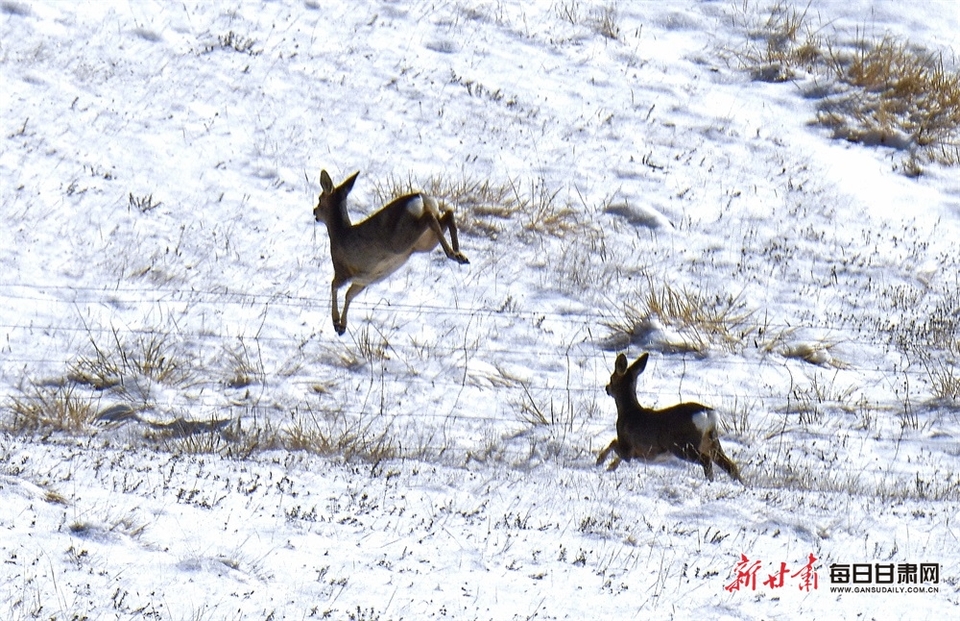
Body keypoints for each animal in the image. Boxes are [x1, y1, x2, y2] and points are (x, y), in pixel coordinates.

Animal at [314, 170, 466, 334]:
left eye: (320, 198)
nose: (315, 211)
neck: (338, 234)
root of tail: (421, 198)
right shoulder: (363, 280)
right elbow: (349, 295)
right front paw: (342, 327)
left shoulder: (343, 270)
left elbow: (334, 286)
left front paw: (336, 322)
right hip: (422, 243)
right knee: (447, 214)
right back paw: (459, 254)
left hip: (400, 240)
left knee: (430, 219)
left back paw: (453, 254)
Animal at [596, 354, 748, 480]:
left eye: (611, 378)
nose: (607, 388)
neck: (628, 411)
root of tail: (707, 415)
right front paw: (610, 467)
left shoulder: (628, 447)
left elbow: (613, 443)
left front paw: (600, 462)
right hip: (711, 441)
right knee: (730, 465)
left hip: (682, 445)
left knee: (706, 461)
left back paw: (709, 482)